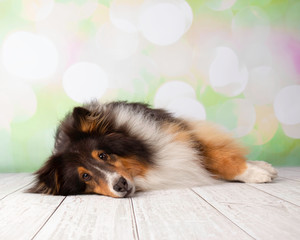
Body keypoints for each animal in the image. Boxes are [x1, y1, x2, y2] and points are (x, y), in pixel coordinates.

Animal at [29, 101, 278, 197]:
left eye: (103, 154)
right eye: (85, 176)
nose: (120, 185)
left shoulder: (180, 136)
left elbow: (219, 158)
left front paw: (254, 173)